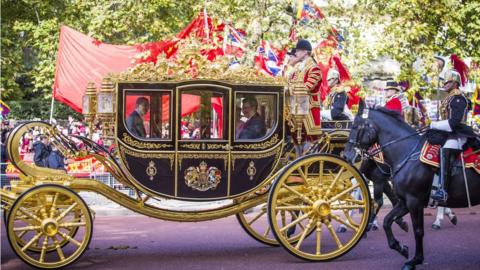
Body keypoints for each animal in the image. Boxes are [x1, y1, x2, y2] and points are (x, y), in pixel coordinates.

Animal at [344, 106, 478, 270]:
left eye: (356, 127)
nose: (346, 156)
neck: (407, 152)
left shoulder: (414, 201)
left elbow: (418, 230)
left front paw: (415, 260)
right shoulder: (405, 201)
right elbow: (387, 221)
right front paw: (401, 248)